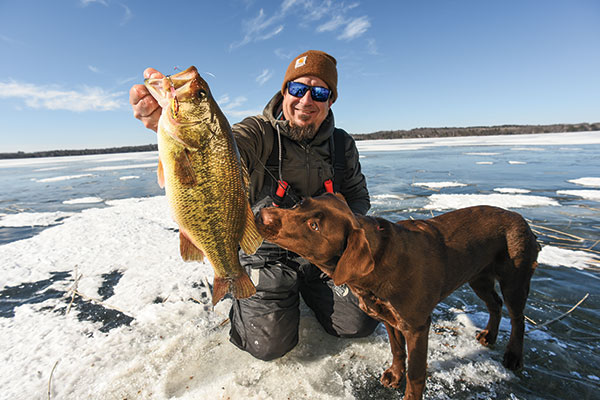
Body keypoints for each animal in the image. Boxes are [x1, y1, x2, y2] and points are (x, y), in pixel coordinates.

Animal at [255, 194, 536, 400]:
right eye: (300, 203)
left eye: (314, 226)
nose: (262, 214)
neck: (379, 262)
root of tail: (521, 217)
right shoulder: (389, 318)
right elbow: (397, 350)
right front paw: (394, 374)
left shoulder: (417, 326)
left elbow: (416, 373)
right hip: (479, 276)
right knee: (495, 304)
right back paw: (489, 335)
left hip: (514, 280)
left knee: (517, 317)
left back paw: (513, 356)